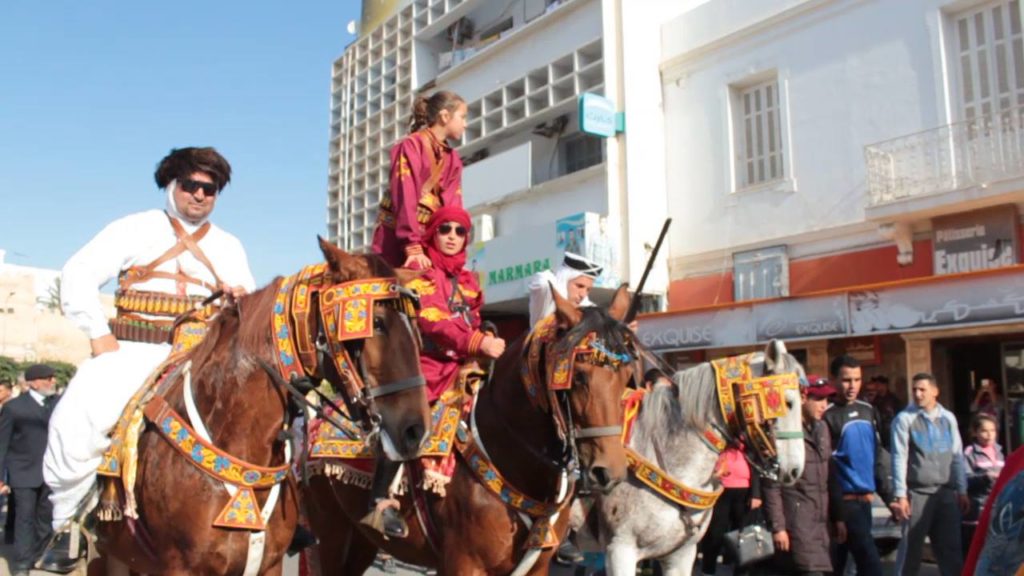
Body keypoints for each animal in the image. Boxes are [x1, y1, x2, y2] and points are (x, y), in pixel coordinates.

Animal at [303, 284, 638, 569]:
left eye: (626, 378)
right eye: (578, 376)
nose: (609, 472)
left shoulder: (537, 566)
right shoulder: (463, 564)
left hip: (361, 541)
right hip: (333, 534)